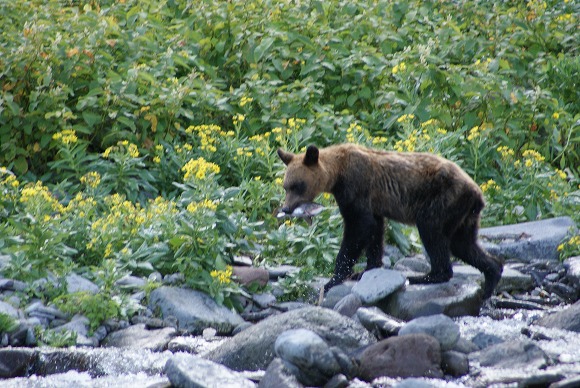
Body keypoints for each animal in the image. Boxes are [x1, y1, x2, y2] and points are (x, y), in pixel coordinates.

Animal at [276, 144, 502, 298]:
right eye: (286, 186)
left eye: (298, 185)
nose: (286, 208)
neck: (337, 175)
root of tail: (477, 193)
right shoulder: (373, 203)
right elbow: (375, 230)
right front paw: (366, 270)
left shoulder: (356, 189)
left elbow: (358, 227)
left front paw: (335, 278)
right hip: (464, 215)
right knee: (463, 244)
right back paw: (491, 277)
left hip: (443, 200)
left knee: (432, 232)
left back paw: (426, 276)